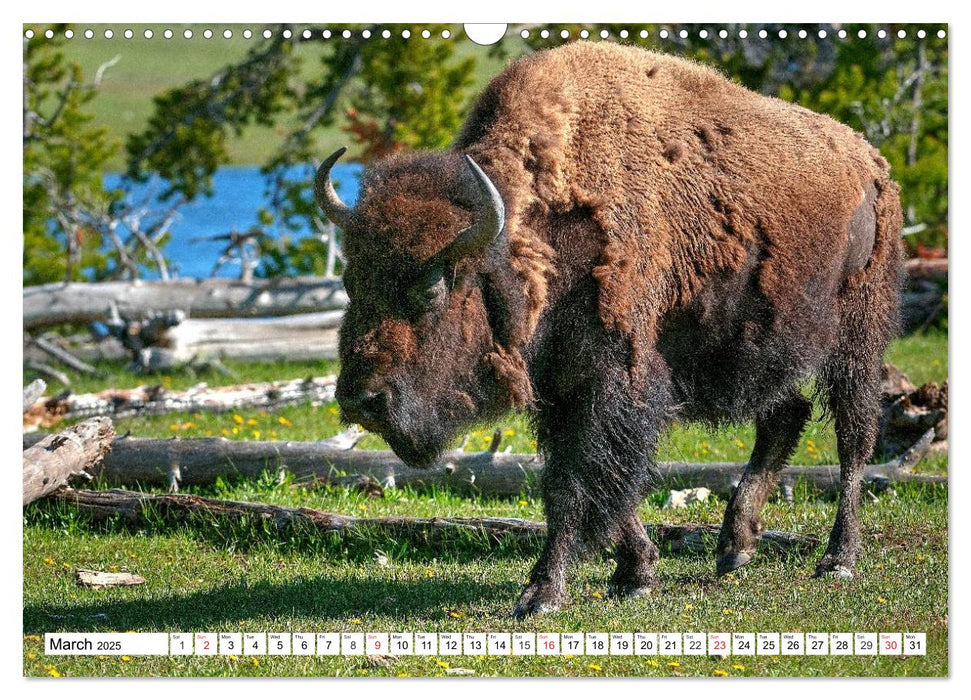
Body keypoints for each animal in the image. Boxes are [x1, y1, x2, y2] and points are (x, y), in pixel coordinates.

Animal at [318, 42, 904, 616]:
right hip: (760, 345)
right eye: (350, 281)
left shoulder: (612, 378)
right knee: (786, 415)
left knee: (854, 437)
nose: (360, 401)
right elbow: (591, 482)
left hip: (857, 336)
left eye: (432, 289)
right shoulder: (562, 386)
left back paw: (838, 559)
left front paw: (542, 594)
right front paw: (635, 574)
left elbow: (577, 483)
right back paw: (734, 547)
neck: (532, 239)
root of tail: (870, 163)